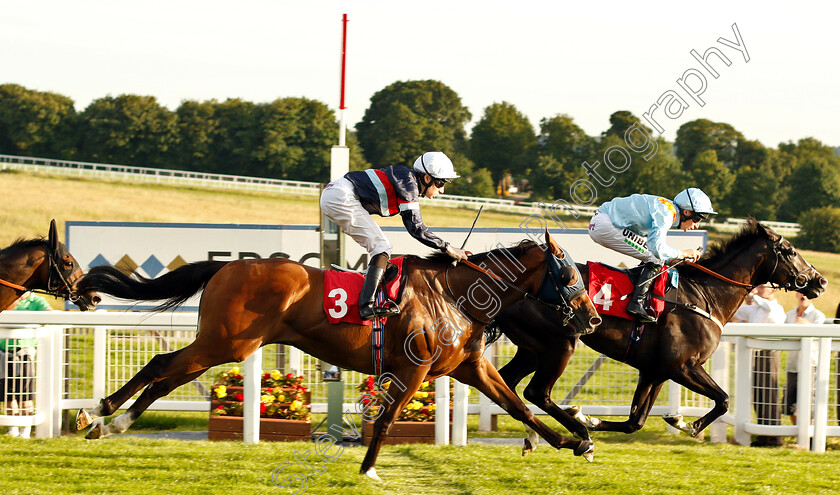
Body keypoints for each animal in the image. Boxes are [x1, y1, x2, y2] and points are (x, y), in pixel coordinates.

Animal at [75, 232, 604, 480]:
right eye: (569, 273)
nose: (591, 318)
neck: (454, 295)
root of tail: (225, 267)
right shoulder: (412, 369)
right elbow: (387, 421)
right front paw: (368, 468)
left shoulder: (470, 367)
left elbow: (518, 405)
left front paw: (575, 442)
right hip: (225, 342)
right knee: (161, 367)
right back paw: (100, 411)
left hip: (225, 345)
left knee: (167, 376)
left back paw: (110, 421)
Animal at [492, 221, 828, 454]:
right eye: (791, 251)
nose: (820, 281)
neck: (704, 295)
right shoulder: (682, 367)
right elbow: (723, 399)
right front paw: (688, 425)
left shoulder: (655, 371)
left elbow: (635, 422)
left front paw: (594, 420)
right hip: (560, 343)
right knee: (537, 392)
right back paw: (577, 435)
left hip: (532, 348)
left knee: (507, 383)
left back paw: (539, 435)